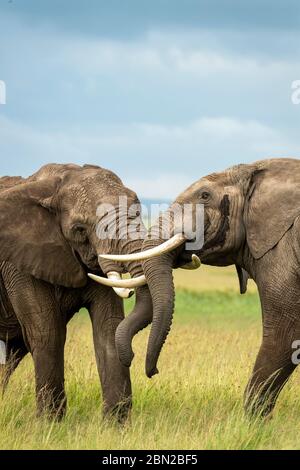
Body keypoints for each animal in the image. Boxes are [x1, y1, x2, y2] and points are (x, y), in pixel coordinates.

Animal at [0, 163, 152, 420]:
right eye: (79, 229)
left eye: (137, 209)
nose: (133, 358)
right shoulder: (18, 264)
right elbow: (47, 332)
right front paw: (50, 424)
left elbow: (108, 328)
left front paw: (114, 425)